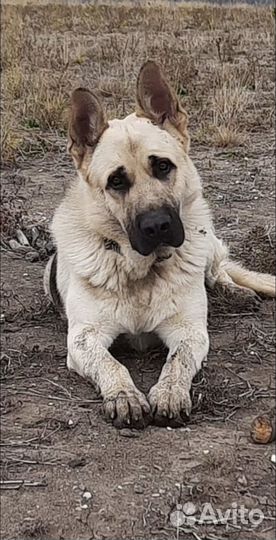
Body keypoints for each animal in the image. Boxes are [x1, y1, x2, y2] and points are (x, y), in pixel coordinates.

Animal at [44, 60, 274, 430]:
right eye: (116, 181)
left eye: (163, 166)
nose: (157, 226)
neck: (142, 271)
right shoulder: (83, 337)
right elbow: (111, 364)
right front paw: (124, 395)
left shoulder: (190, 331)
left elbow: (178, 361)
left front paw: (169, 393)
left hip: (203, 235)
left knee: (219, 269)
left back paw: (233, 290)